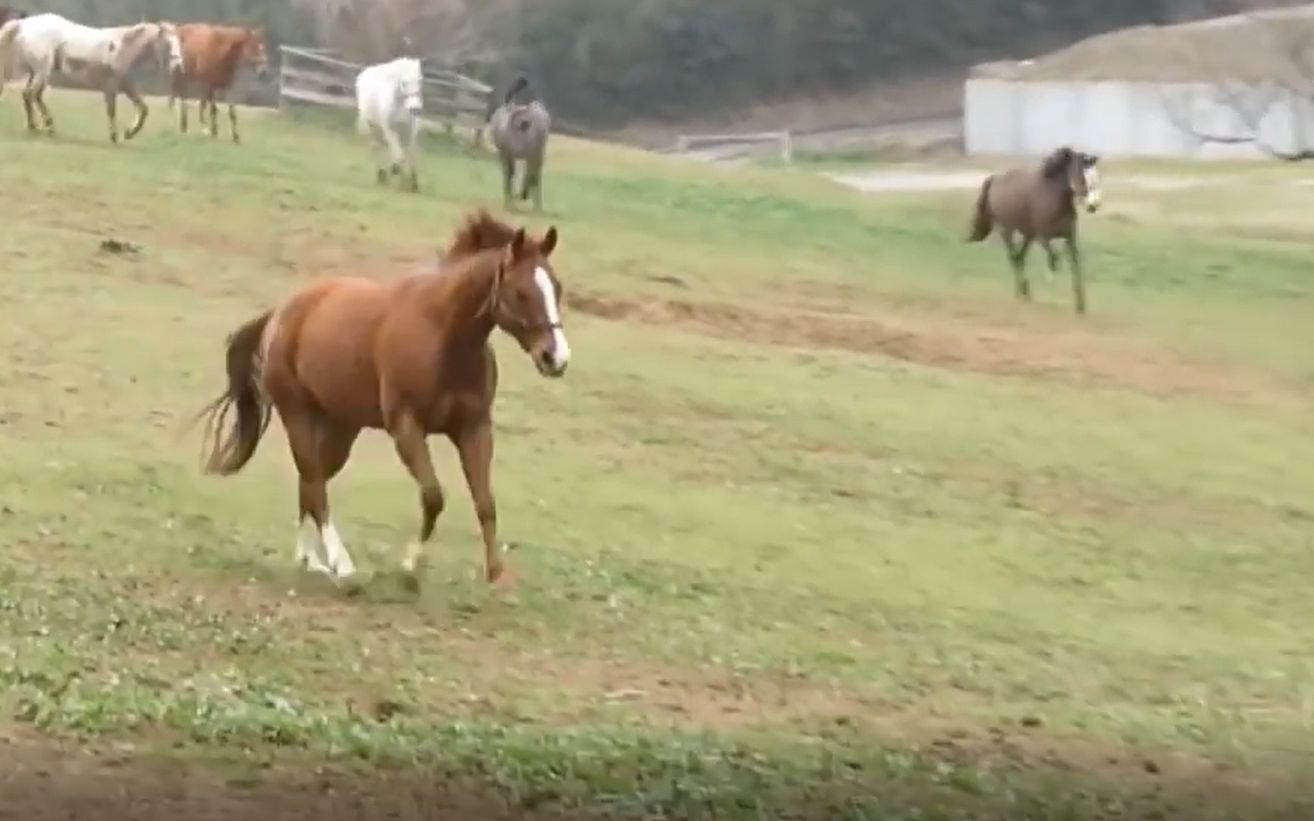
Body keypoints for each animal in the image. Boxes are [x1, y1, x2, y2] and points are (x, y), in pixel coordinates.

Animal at [0, 12, 172, 141]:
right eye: (168, 44)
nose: (174, 64)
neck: (122, 48)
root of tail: (24, 24)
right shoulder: (110, 87)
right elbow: (112, 111)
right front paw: (114, 136)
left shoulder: (128, 86)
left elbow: (144, 109)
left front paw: (129, 133)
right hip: (41, 71)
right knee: (30, 94)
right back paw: (36, 127)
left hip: (37, 73)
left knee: (33, 95)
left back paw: (47, 126)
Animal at [194, 207, 570, 585]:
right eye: (521, 292)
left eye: (557, 288)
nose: (556, 358)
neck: (443, 334)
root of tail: (282, 312)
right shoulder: (406, 428)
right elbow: (433, 496)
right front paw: (409, 564)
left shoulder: (474, 428)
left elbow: (485, 502)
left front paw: (496, 575)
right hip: (297, 415)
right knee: (314, 485)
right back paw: (340, 563)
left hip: (341, 428)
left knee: (311, 483)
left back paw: (311, 559)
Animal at [354, 56, 425, 193]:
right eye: (403, 82)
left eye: (420, 80)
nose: (415, 109)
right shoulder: (390, 130)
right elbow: (400, 155)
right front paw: (395, 170)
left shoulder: (410, 131)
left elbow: (410, 155)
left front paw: (412, 183)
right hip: (374, 127)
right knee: (376, 147)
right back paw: (382, 174)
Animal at [488, 75, 549, 211]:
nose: (523, 80)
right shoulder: (509, 153)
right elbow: (512, 175)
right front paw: (514, 200)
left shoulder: (530, 153)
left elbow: (525, 176)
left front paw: (518, 199)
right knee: (528, 175)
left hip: (532, 155)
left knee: (532, 175)